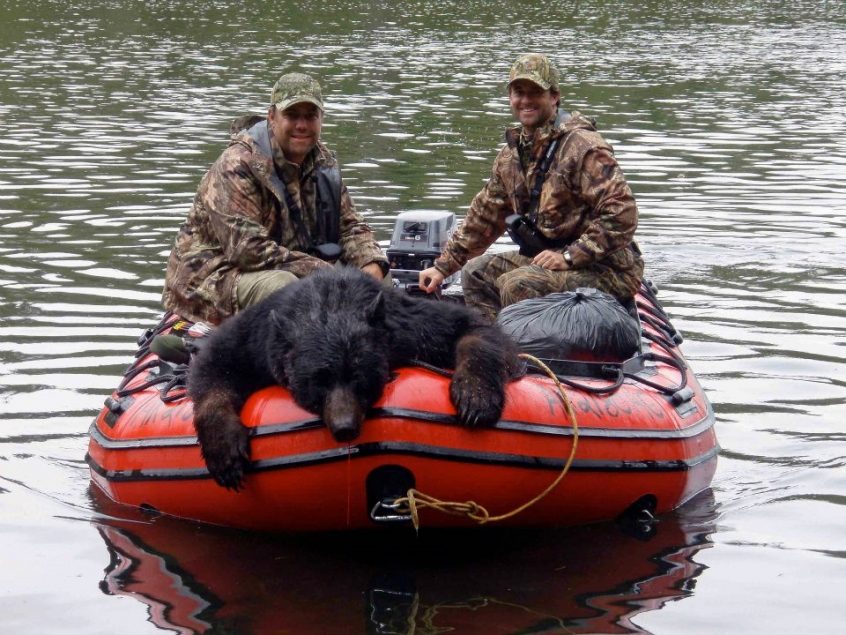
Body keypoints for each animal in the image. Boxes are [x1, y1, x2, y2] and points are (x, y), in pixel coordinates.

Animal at [188, 266, 524, 490]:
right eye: (318, 382)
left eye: (359, 377)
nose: (345, 428)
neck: (329, 303)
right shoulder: (257, 337)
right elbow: (213, 365)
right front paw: (224, 450)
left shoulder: (410, 325)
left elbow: (472, 328)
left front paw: (475, 396)